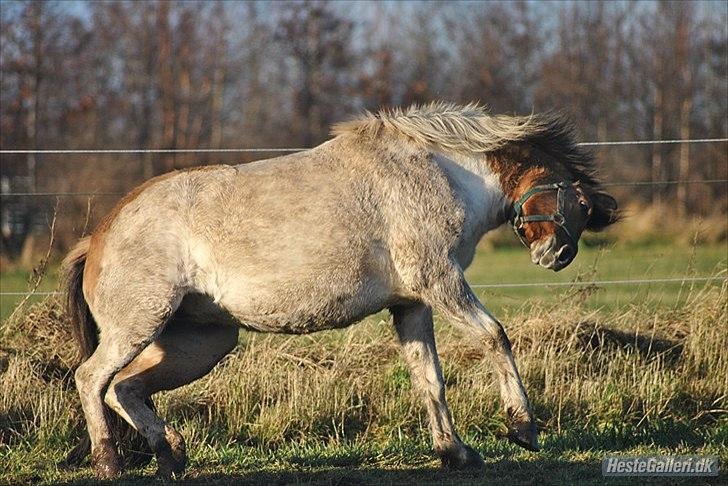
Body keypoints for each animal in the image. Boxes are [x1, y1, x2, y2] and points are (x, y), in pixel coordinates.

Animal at [64, 101, 620, 478]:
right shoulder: (439, 281)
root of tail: (98, 236)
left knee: (125, 387)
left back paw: (171, 454)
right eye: (571, 198)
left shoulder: (412, 304)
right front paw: (522, 428)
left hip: (200, 343)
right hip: (141, 325)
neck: (443, 173)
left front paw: (455, 452)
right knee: (91, 379)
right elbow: (494, 337)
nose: (557, 255)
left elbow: (428, 379)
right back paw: (109, 463)